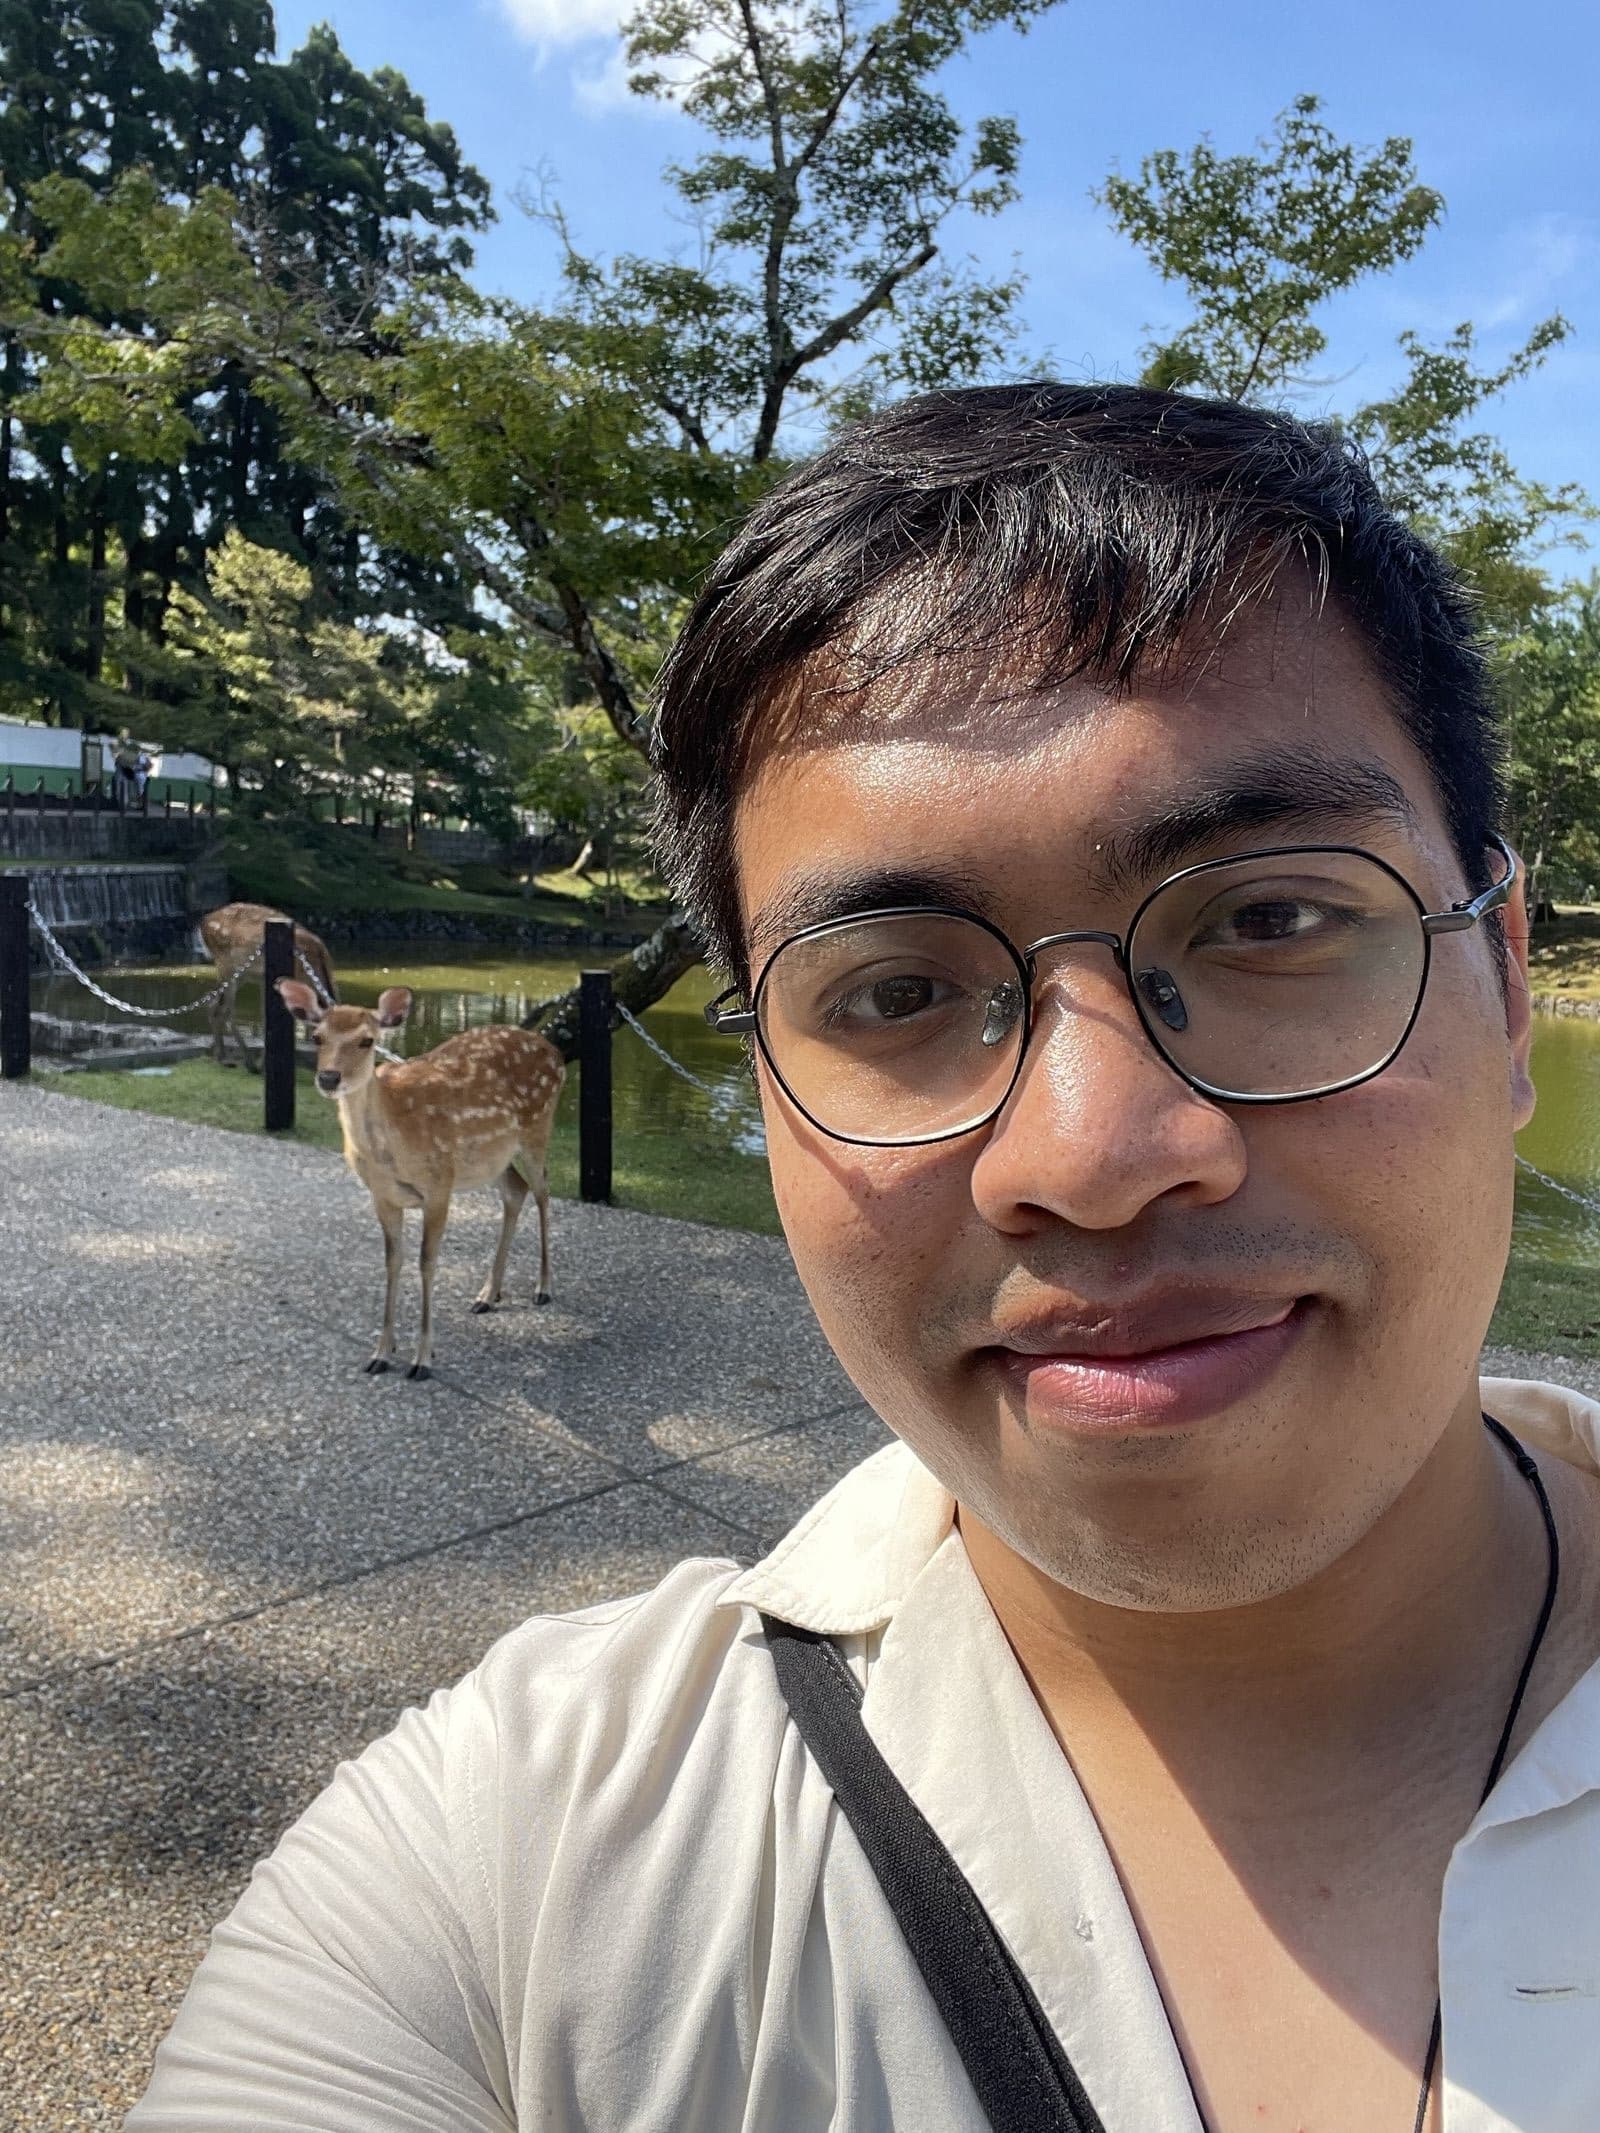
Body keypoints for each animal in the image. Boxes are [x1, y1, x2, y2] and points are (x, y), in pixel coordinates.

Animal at [200, 902, 338, 1070]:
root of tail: (204, 921)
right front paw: (264, 1064)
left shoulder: (264, 979)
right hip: (226, 965)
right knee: (225, 1010)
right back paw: (240, 1060)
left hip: (240, 974)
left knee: (214, 1004)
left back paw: (225, 1057)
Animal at [275, 980, 565, 1380]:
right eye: (317, 1037)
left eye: (366, 1040)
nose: (329, 1077)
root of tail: (556, 1053)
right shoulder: (382, 1196)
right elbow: (392, 1260)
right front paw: (382, 1352)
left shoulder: (438, 1185)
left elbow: (427, 1262)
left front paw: (423, 1359)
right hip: (490, 1159)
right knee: (515, 1191)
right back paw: (487, 1295)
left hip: (537, 1129)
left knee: (543, 1191)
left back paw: (543, 1287)